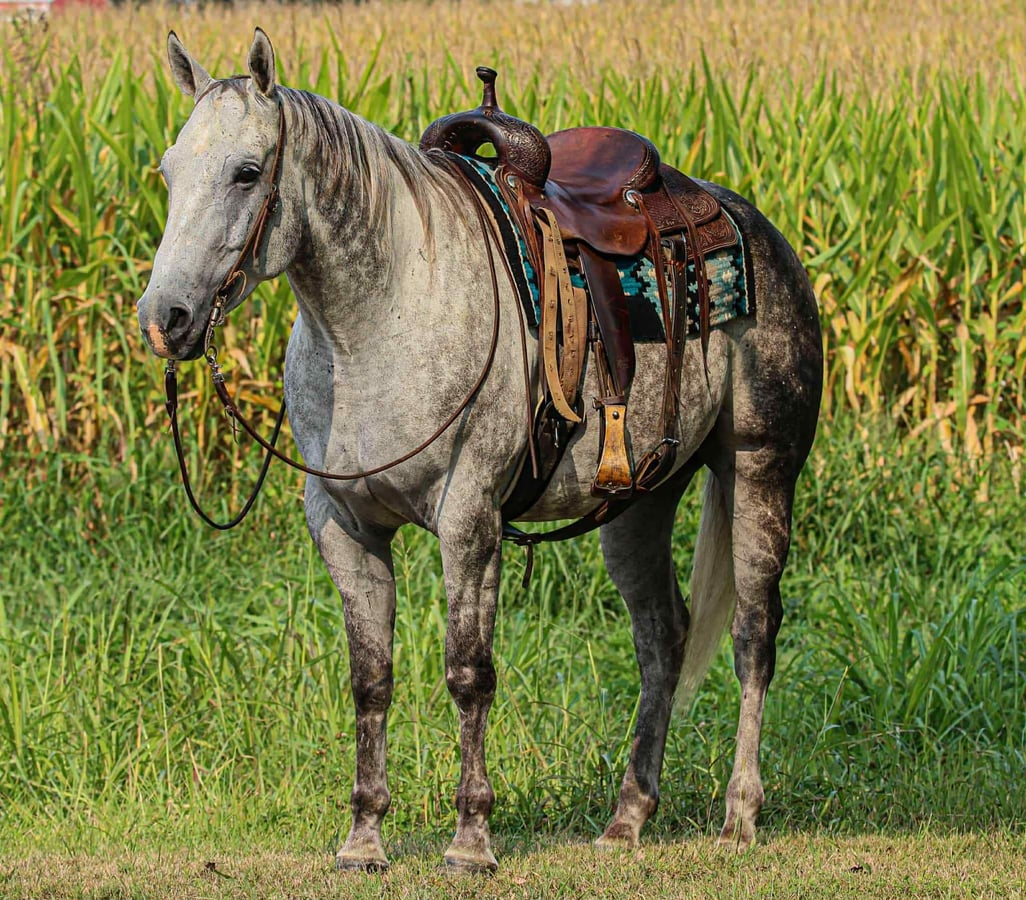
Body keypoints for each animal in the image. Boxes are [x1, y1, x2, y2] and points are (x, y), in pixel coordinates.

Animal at [136, 29, 822, 873]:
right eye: (169, 171)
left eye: (246, 171)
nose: (165, 317)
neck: (385, 313)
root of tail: (754, 228)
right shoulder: (343, 525)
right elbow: (371, 679)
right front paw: (364, 838)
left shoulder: (469, 518)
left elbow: (469, 674)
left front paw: (470, 839)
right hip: (641, 498)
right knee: (663, 638)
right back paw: (628, 816)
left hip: (761, 467)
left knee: (754, 633)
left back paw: (739, 814)